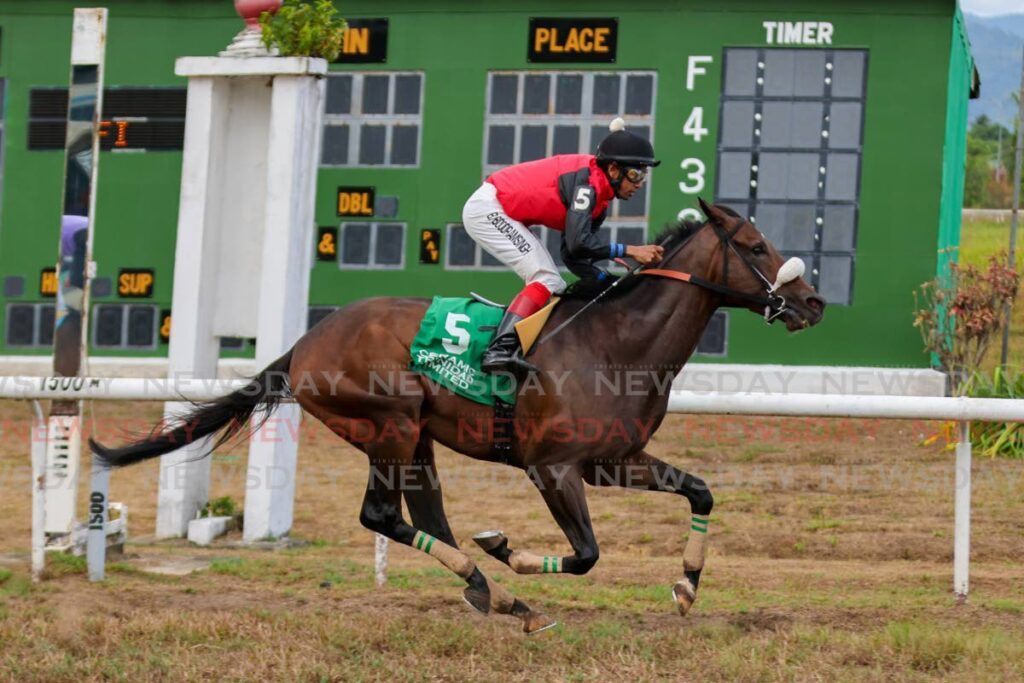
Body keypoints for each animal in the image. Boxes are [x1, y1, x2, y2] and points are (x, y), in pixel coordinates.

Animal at [90, 201, 823, 634]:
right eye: (757, 245)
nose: (812, 301)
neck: (617, 342)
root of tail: (306, 343)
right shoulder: (552, 466)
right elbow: (587, 553)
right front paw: (510, 549)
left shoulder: (613, 459)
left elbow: (701, 491)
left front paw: (687, 586)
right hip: (387, 421)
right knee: (383, 514)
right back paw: (492, 581)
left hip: (416, 434)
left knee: (424, 514)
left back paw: (489, 592)